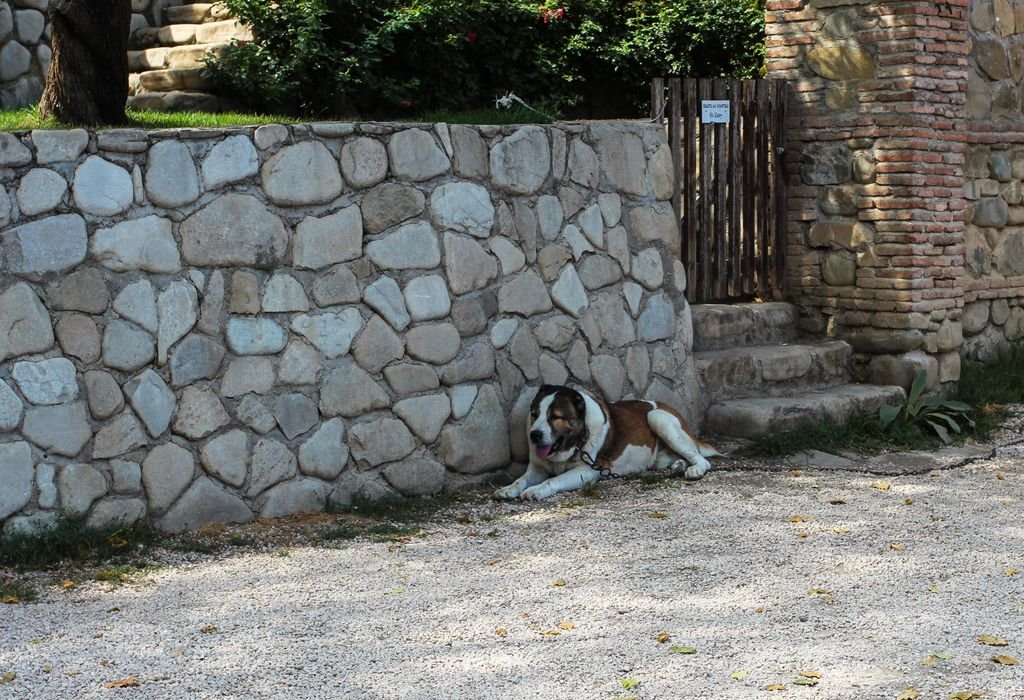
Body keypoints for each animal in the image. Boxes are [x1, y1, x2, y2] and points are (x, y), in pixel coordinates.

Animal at [493, 384, 720, 499]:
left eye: (556, 417)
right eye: (534, 414)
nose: (535, 434)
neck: (577, 441)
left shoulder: (586, 471)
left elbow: (553, 480)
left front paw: (537, 490)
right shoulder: (537, 469)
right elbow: (521, 480)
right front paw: (508, 489)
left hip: (657, 417)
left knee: (701, 459)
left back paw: (694, 470)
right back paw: (678, 465)